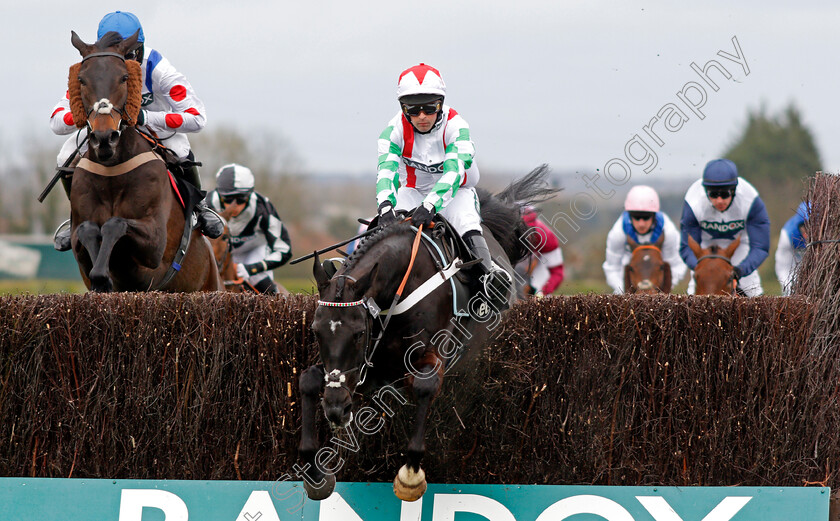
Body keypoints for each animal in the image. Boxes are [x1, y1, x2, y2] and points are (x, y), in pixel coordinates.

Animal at [66, 31, 220, 292]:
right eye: (81, 79)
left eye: (124, 77)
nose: (104, 138)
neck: (112, 171)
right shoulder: (80, 239)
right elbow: (88, 230)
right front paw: (100, 275)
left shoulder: (154, 246)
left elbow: (115, 224)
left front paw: (103, 274)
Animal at [298, 166, 556, 500]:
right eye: (316, 331)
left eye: (357, 333)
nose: (335, 408)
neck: (398, 286)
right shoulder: (367, 367)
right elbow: (307, 380)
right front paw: (314, 473)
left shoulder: (429, 355)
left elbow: (424, 386)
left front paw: (410, 475)